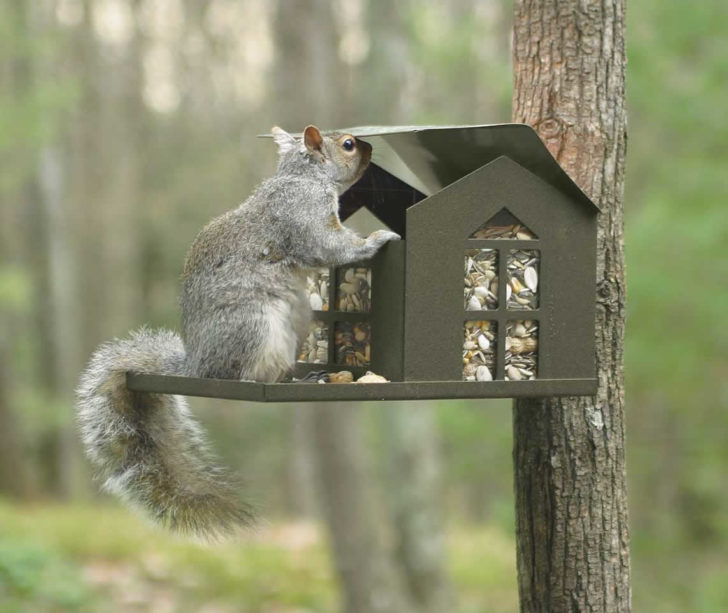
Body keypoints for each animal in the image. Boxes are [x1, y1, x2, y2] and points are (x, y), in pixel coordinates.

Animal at [77, 124, 400, 536]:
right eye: (347, 145)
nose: (371, 148)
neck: (303, 176)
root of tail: (197, 366)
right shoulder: (305, 215)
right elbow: (330, 247)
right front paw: (375, 240)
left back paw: (301, 377)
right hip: (253, 325)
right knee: (241, 373)